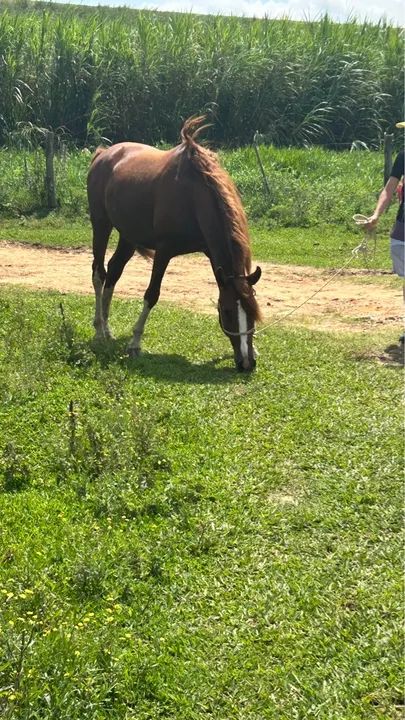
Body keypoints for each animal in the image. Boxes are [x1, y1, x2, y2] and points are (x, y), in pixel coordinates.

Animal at [87, 116, 262, 371]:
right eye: (227, 311)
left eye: (252, 312)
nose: (246, 363)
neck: (193, 195)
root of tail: (103, 154)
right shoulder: (164, 251)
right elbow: (152, 294)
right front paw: (135, 342)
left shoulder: (211, 252)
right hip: (101, 225)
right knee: (99, 273)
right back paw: (100, 329)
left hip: (128, 236)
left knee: (114, 270)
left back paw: (108, 329)